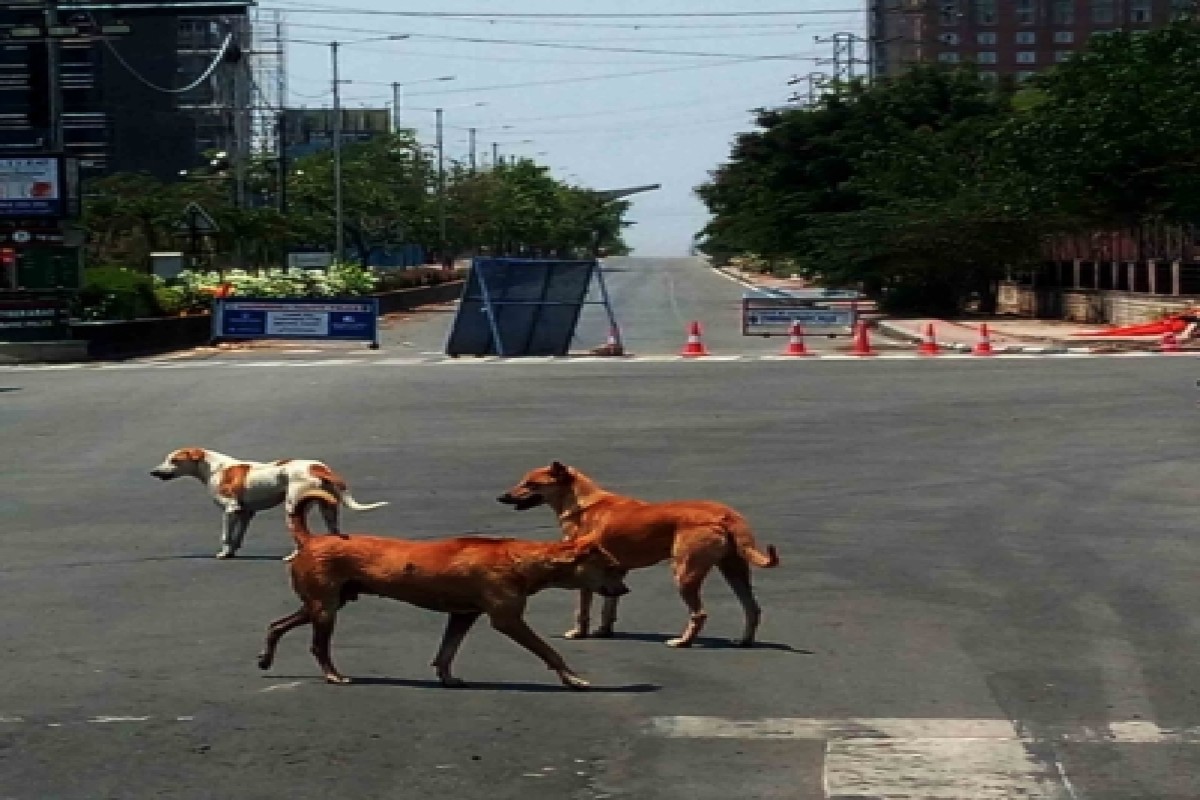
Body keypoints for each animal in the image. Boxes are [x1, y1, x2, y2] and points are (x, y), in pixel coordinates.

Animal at [147, 448, 386, 561]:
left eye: (174, 460)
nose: (153, 472)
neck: (215, 467)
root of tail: (318, 467)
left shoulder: (230, 510)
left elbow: (225, 536)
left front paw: (223, 553)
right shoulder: (245, 513)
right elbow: (237, 537)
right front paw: (232, 551)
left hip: (293, 507)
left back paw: (293, 557)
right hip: (329, 509)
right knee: (334, 532)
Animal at [253, 489, 628, 690]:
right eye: (612, 567)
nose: (624, 590)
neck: (520, 558)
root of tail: (311, 539)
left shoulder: (463, 616)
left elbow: (447, 652)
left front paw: (446, 678)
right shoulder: (507, 620)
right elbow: (548, 651)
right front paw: (572, 679)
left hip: (324, 603)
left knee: (276, 625)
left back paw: (266, 658)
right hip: (326, 608)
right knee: (318, 645)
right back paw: (333, 675)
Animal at [494, 465, 777, 647]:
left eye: (531, 484)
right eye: (523, 481)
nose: (501, 497)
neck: (583, 504)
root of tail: (725, 513)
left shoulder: (586, 575)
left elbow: (582, 610)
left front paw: (579, 633)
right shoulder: (614, 572)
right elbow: (609, 607)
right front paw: (604, 631)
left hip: (684, 573)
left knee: (700, 614)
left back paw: (683, 642)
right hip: (734, 571)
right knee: (752, 608)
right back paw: (744, 640)